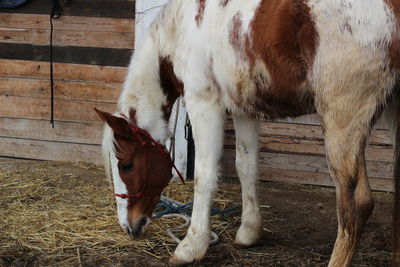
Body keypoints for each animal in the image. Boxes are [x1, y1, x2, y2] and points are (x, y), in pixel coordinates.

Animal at [95, 1, 400, 266]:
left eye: (126, 165)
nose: (129, 226)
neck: (183, 29)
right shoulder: (244, 109)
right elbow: (246, 167)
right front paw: (249, 232)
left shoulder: (203, 104)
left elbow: (205, 176)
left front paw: (191, 246)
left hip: (342, 122)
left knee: (354, 207)